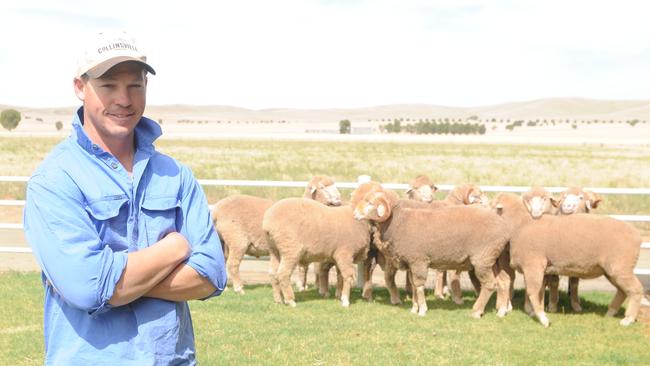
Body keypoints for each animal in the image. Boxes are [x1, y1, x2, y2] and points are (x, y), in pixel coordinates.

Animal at [214, 175, 344, 294]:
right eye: (322, 187)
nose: (339, 200)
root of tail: (216, 210)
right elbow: (304, 267)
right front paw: (302, 287)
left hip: (222, 241)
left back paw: (224, 288)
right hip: (237, 239)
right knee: (232, 264)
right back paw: (239, 288)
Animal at [352, 190, 508, 316]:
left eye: (370, 203)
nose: (355, 214)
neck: (399, 222)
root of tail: (504, 228)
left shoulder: (419, 260)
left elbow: (419, 286)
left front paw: (422, 310)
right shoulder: (411, 263)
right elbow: (414, 286)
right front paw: (414, 308)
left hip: (482, 259)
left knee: (489, 284)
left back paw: (477, 311)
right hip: (494, 259)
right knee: (503, 282)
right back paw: (501, 311)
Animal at [494, 190, 640, 328]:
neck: (521, 225)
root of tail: (636, 235)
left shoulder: (533, 265)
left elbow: (533, 291)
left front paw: (543, 318)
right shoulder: (533, 268)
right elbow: (536, 291)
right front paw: (535, 311)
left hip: (621, 266)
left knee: (635, 289)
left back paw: (628, 319)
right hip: (612, 270)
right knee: (622, 291)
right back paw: (610, 313)